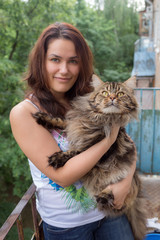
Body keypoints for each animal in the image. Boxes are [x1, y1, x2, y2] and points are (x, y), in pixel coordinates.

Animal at [32, 75, 146, 240]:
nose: (112, 97)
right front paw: (44, 118)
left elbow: (75, 152)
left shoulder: (99, 149)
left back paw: (104, 196)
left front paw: (58, 158)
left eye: (120, 94)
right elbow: (62, 121)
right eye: (105, 93)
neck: (100, 118)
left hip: (126, 181)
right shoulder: (76, 121)